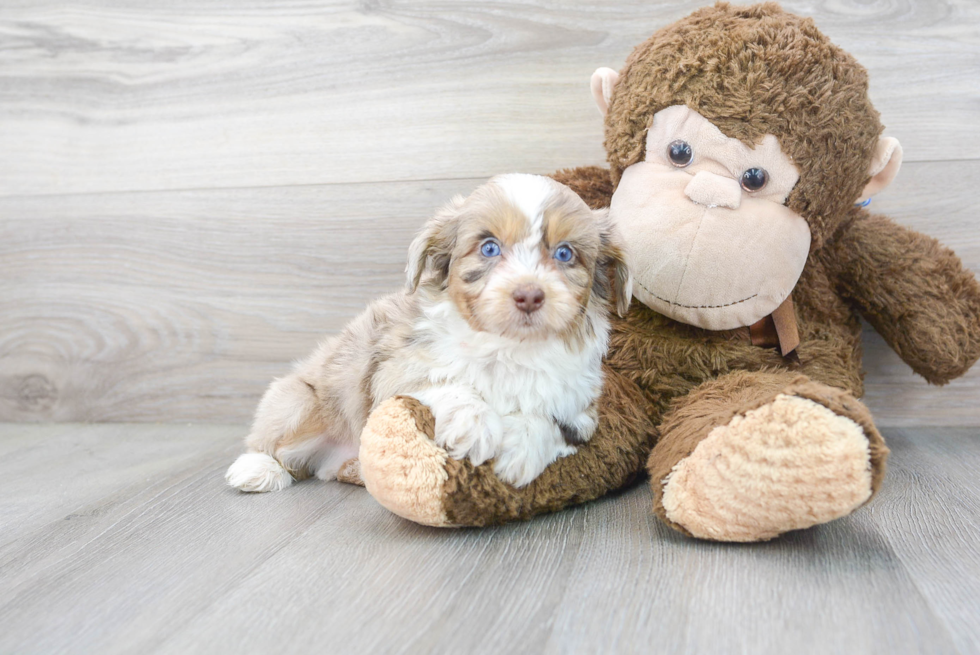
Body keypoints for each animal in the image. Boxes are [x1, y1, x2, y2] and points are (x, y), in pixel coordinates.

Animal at [226, 174, 632, 492]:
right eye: (489, 248)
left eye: (565, 254)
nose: (529, 295)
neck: (508, 347)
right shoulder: (393, 372)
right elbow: (445, 381)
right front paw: (474, 423)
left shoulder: (580, 411)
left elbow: (549, 422)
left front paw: (521, 447)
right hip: (297, 401)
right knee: (271, 444)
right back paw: (257, 468)